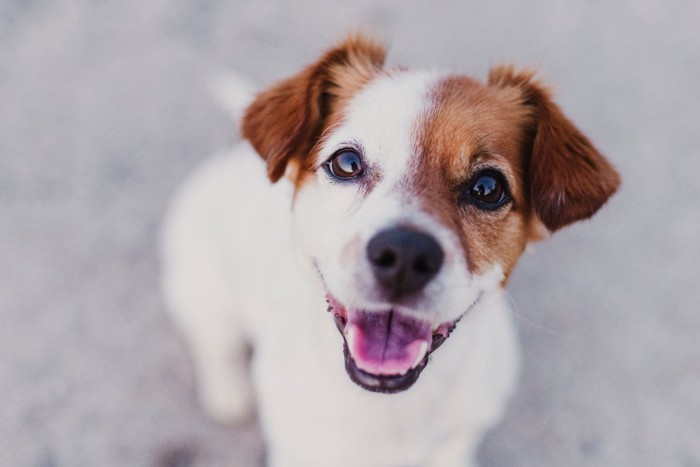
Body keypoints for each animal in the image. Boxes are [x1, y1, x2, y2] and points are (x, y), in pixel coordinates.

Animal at [161, 34, 620, 466]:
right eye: (346, 163)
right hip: (202, 293)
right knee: (215, 345)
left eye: (488, 188)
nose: (404, 255)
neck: (394, 408)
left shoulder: (460, 434)